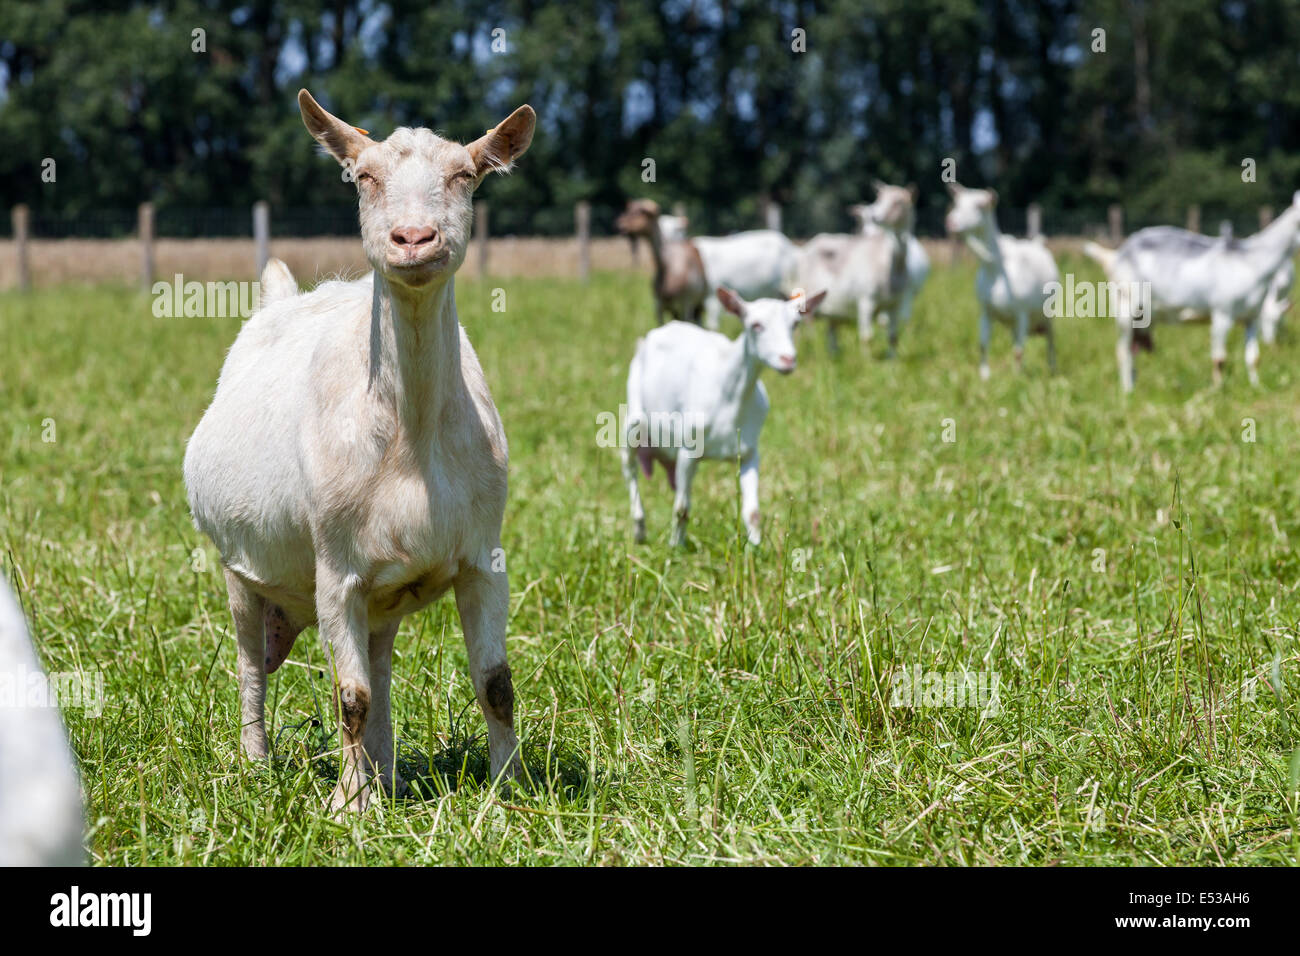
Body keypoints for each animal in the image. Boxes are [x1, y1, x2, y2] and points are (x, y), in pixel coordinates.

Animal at [183, 89, 533, 811]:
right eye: (364, 177)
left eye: (465, 174)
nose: (414, 239)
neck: (410, 437)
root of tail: (282, 300)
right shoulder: (335, 570)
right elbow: (350, 697)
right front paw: (348, 807)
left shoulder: (484, 557)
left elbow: (495, 684)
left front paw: (509, 792)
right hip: (237, 569)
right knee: (250, 664)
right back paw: (259, 764)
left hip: (383, 597)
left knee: (381, 661)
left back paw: (388, 772)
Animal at [618, 287, 821, 548]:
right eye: (755, 325)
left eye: (795, 324)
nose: (787, 360)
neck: (730, 393)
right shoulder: (688, 450)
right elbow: (682, 508)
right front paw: (675, 548)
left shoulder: (749, 452)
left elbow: (753, 512)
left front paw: (755, 548)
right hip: (633, 416)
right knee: (629, 467)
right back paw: (639, 529)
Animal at [941, 183, 1060, 377]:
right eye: (957, 203)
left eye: (980, 205)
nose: (951, 222)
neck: (996, 267)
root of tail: (1037, 243)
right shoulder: (986, 310)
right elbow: (983, 344)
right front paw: (984, 376)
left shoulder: (1022, 312)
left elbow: (1018, 352)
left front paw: (1017, 378)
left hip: (1047, 314)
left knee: (1050, 340)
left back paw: (1052, 370)